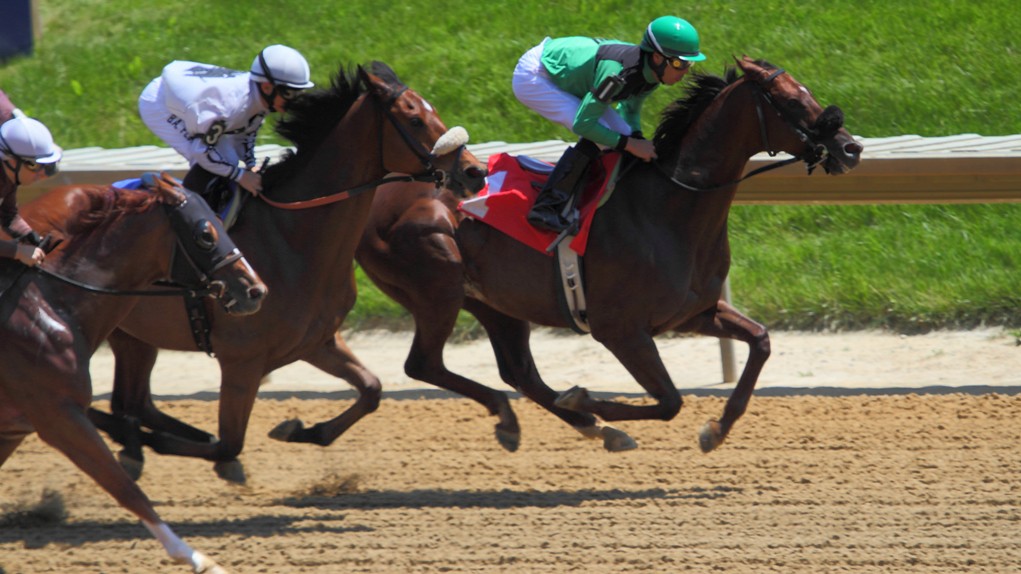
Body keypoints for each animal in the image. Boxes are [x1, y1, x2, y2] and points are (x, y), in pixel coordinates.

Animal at [0, 173, 265, 574]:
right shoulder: (58, 415)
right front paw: (201, 559)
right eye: (206, 233)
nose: (255, 289)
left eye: (221, 222)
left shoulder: (16, 427)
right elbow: (126, 488)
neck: (51, 308)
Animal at [87, 62, 488, 482]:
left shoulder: (315, 342)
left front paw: (299, 430)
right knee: (123, 406)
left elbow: (372, 390)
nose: (475, 171)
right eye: (414, 119)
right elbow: (229, 443)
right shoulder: (242, 361)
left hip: (132, 336)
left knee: (132, 402)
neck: (292, 237)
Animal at [356, 57, 863, 452]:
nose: (852, 148)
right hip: (437, 288)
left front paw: (715, 430)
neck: (669, 206)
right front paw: (583, 399)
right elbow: (669, 401)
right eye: (793, 102)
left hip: (495, 301)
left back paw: (579, 428)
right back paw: (551, 419)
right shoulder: (620, 330)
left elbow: (760, 341)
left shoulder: (693, 313)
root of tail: (381, 193)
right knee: (423, 364)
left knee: (518, 371)